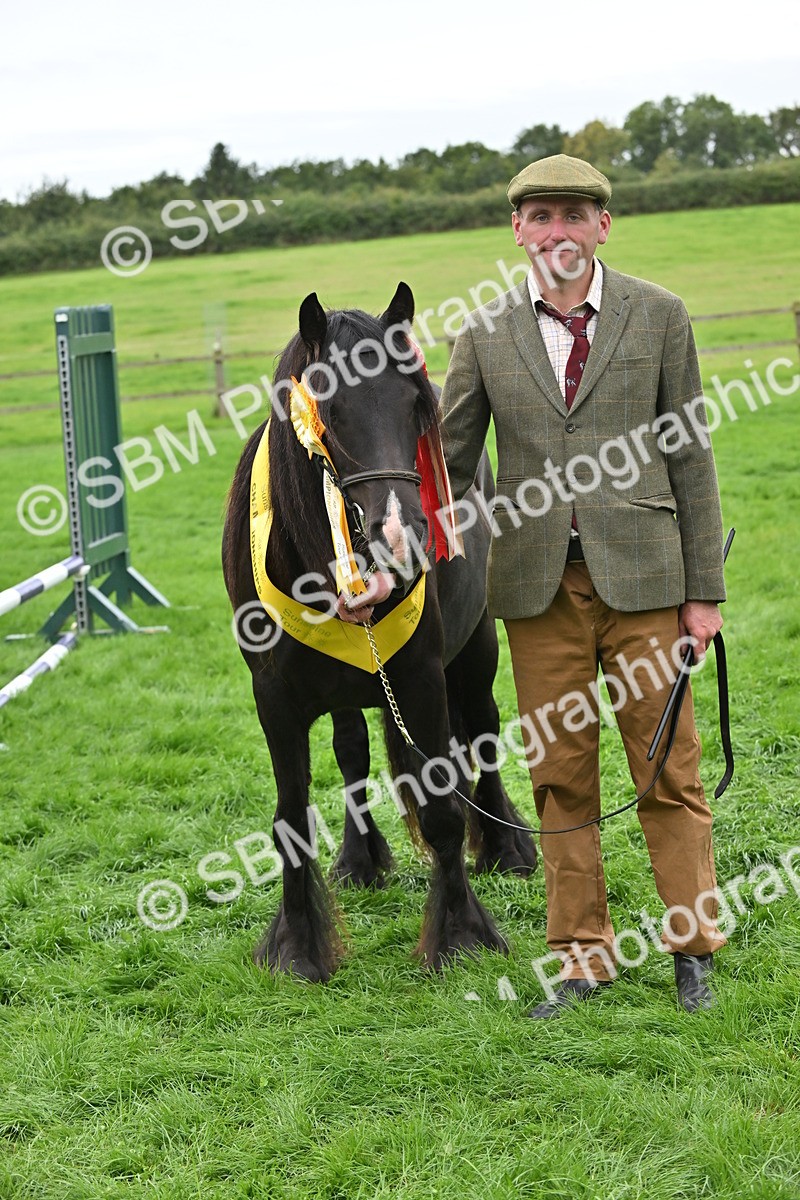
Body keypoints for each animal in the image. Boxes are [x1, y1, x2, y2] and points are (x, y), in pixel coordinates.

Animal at [222, 282, 536, 982]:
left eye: (416, 405)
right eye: (329, 411)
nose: (401, 536)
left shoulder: (420, 678)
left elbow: (444, 808)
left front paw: (459, 934)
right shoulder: (273, 698)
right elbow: (291, 818)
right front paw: (298, 945)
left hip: (474, 651)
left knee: (482, 730)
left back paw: (508, 848)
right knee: (352, 752)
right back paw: (360, 858)